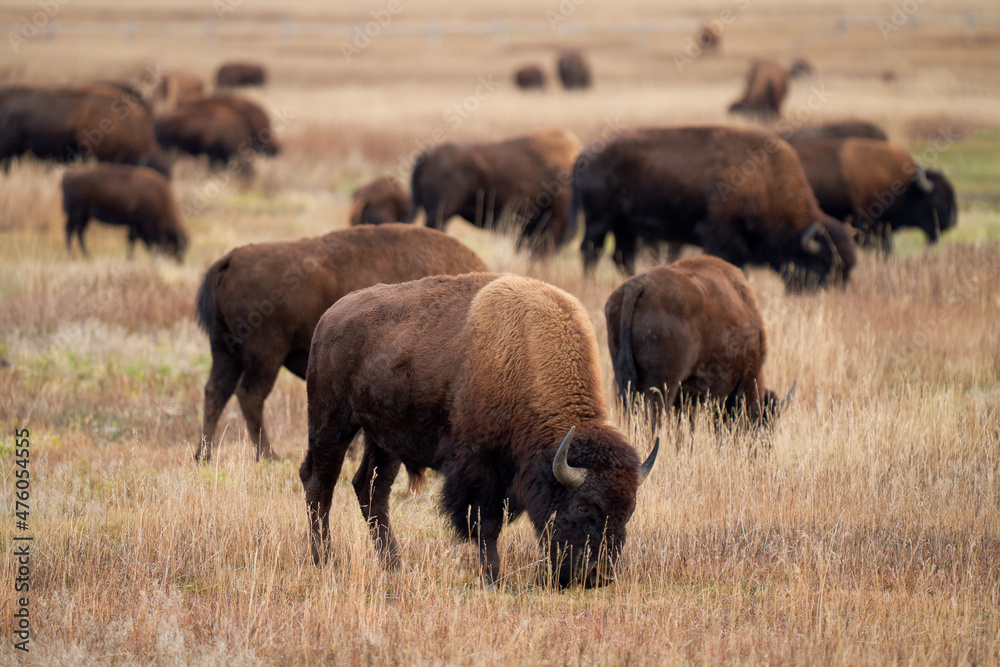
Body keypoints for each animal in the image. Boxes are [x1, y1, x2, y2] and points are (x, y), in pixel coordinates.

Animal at [195, 224, 487, 463]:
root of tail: (231, 259)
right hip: (265, 355)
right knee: (250, 396)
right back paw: (268, 456)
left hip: (225, 352)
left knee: (215, 392)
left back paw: (204, 455)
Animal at [301, 272, 658, 587]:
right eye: (583, 505)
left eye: (628, 510)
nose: (596, 576)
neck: (526, 354)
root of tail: (329, 318)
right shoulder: (479, 469)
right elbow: (485, 525)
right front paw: (493, 580)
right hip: (332, 422)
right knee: (319, 484)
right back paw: (325, 560)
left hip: (384, 440)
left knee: (371, 490)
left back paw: (393, 565)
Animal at [574, 125, 856, 289]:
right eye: (822, 264)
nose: (832, 295)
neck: (764, 179)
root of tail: (584, 155)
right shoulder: (721, 237)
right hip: (599, 219)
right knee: (591, 251)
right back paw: (589, 285)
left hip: (625, 226)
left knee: (622, 256)